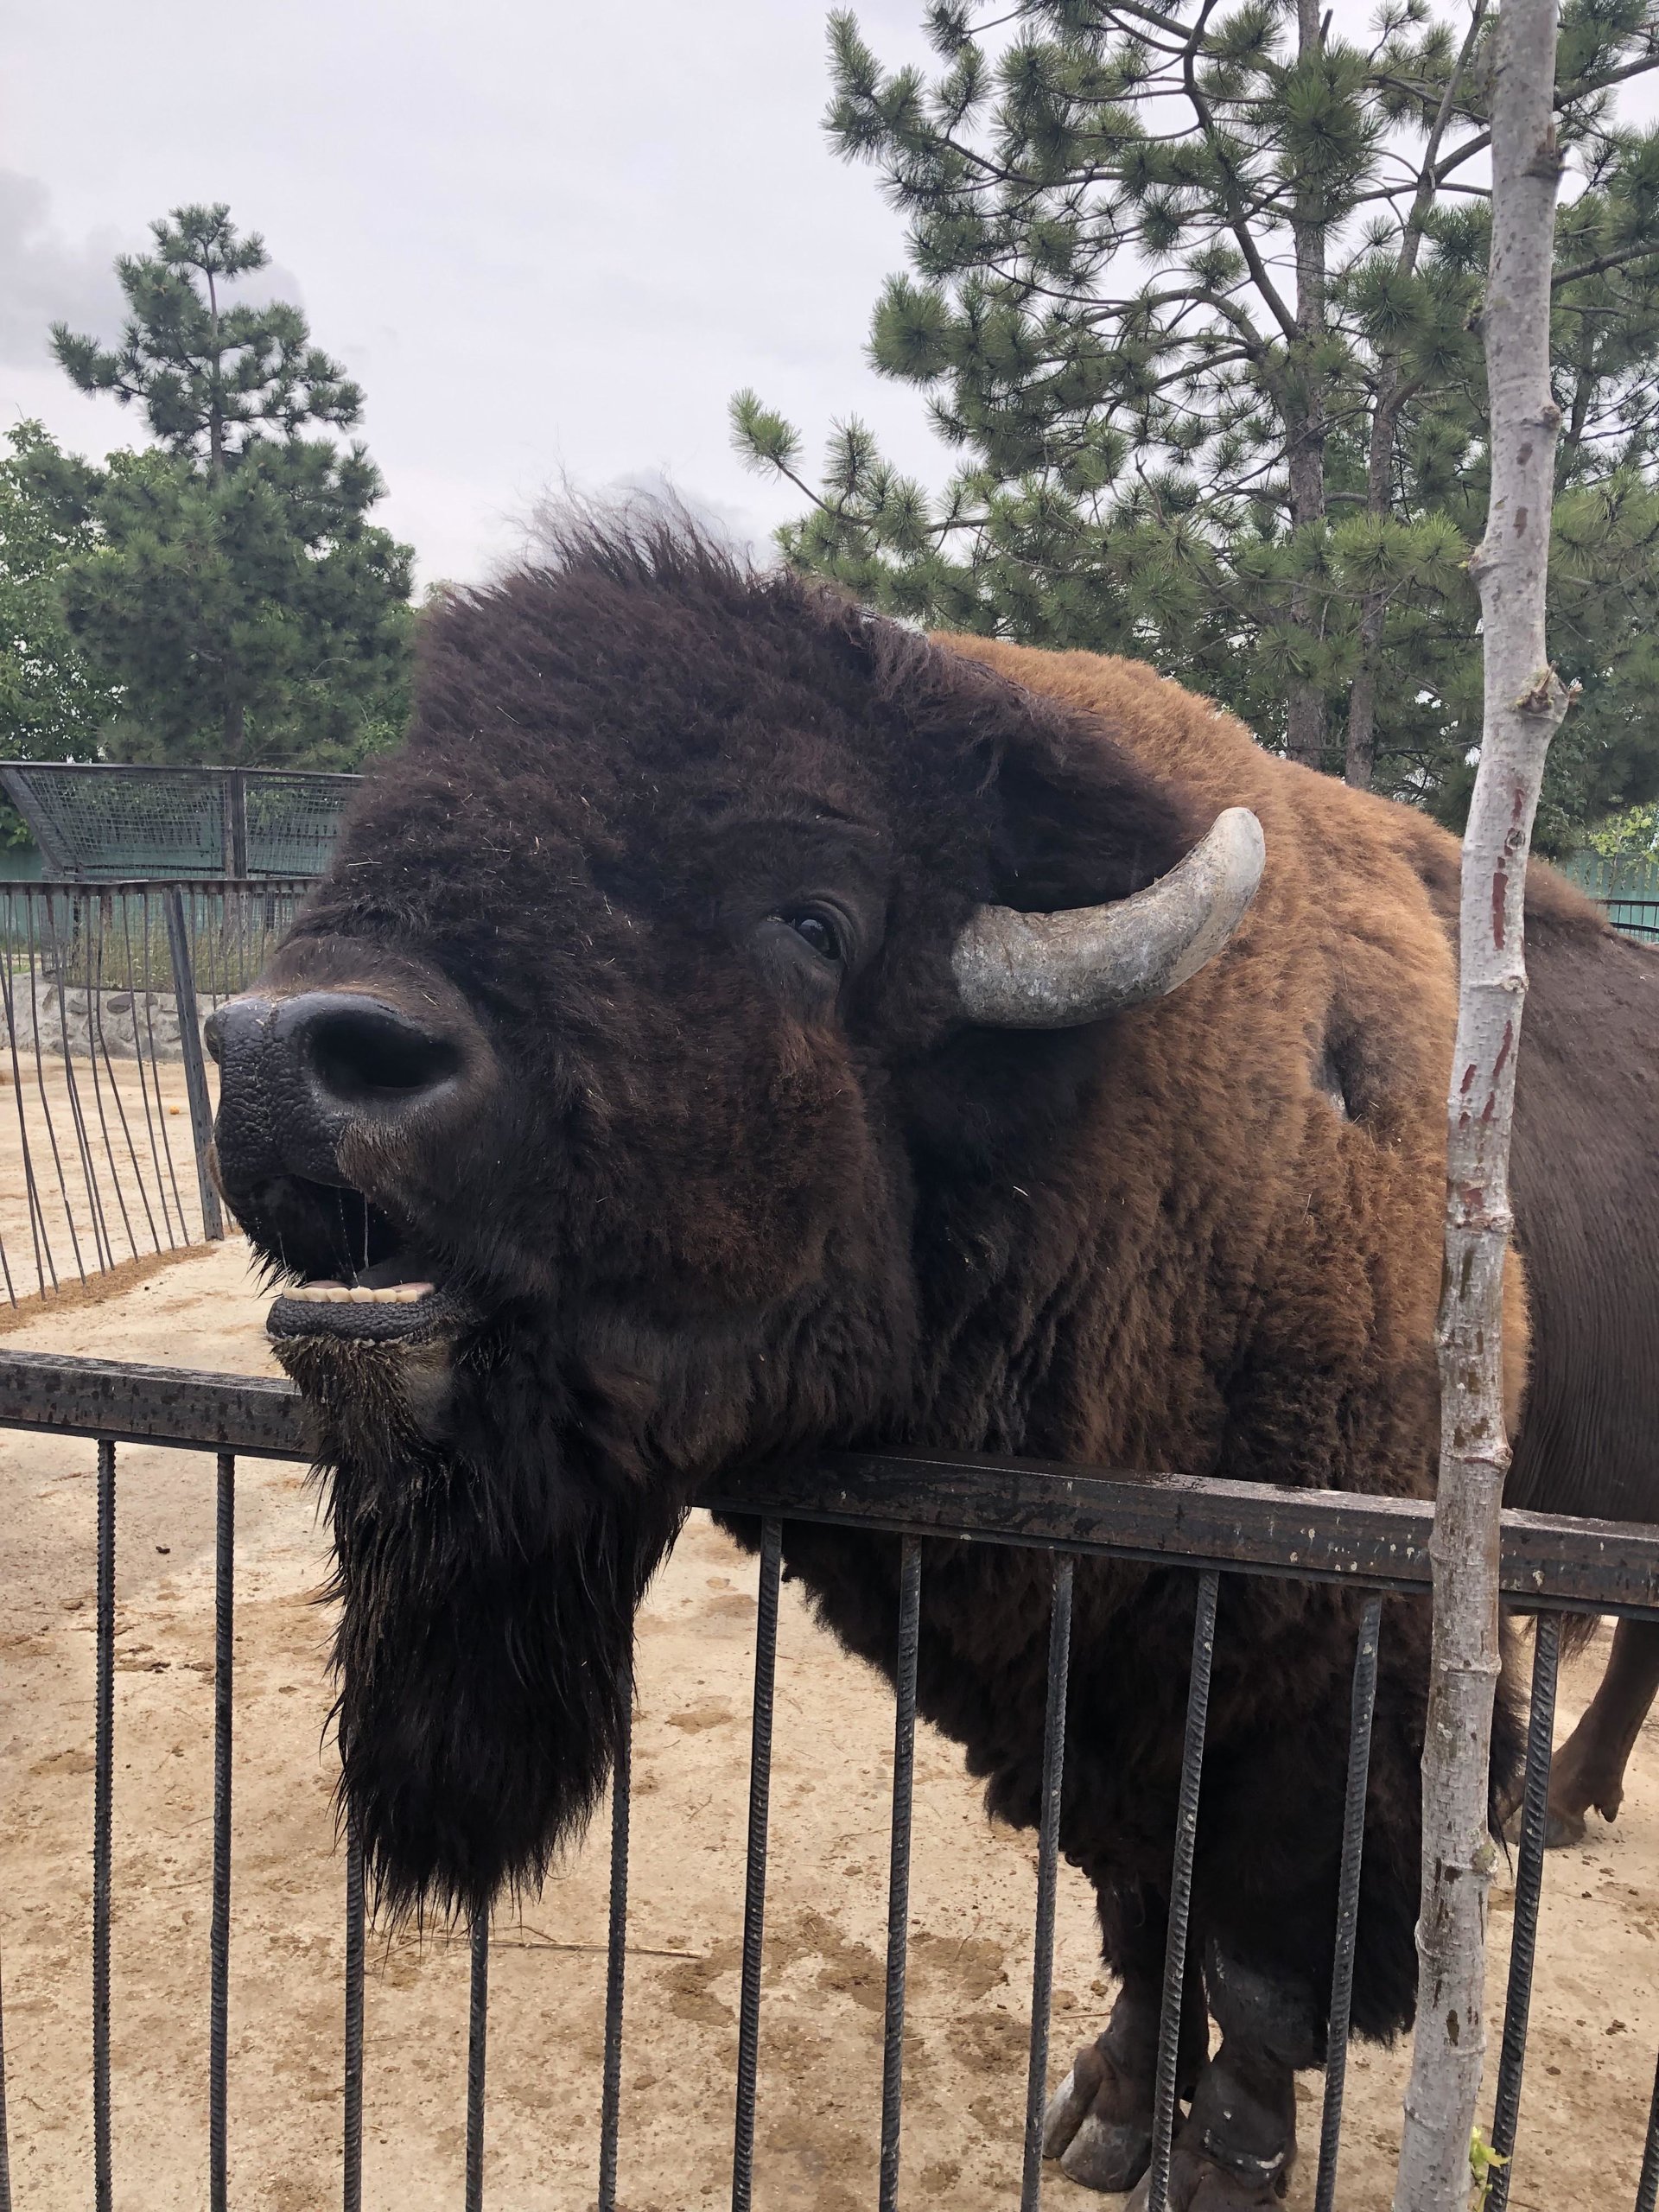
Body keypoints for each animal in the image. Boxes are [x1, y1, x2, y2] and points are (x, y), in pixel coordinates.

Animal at [207, 522, 1659, 2212]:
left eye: (812, 918)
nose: (286, 1057)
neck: (1121, 1133)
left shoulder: (1339, 1691)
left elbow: (1265, 1966)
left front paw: (1219, 2163)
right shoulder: (1095, 1693)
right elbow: (1143, 1914)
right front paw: (1107, 2119)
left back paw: (1563, 1806)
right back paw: (1570, 1802)